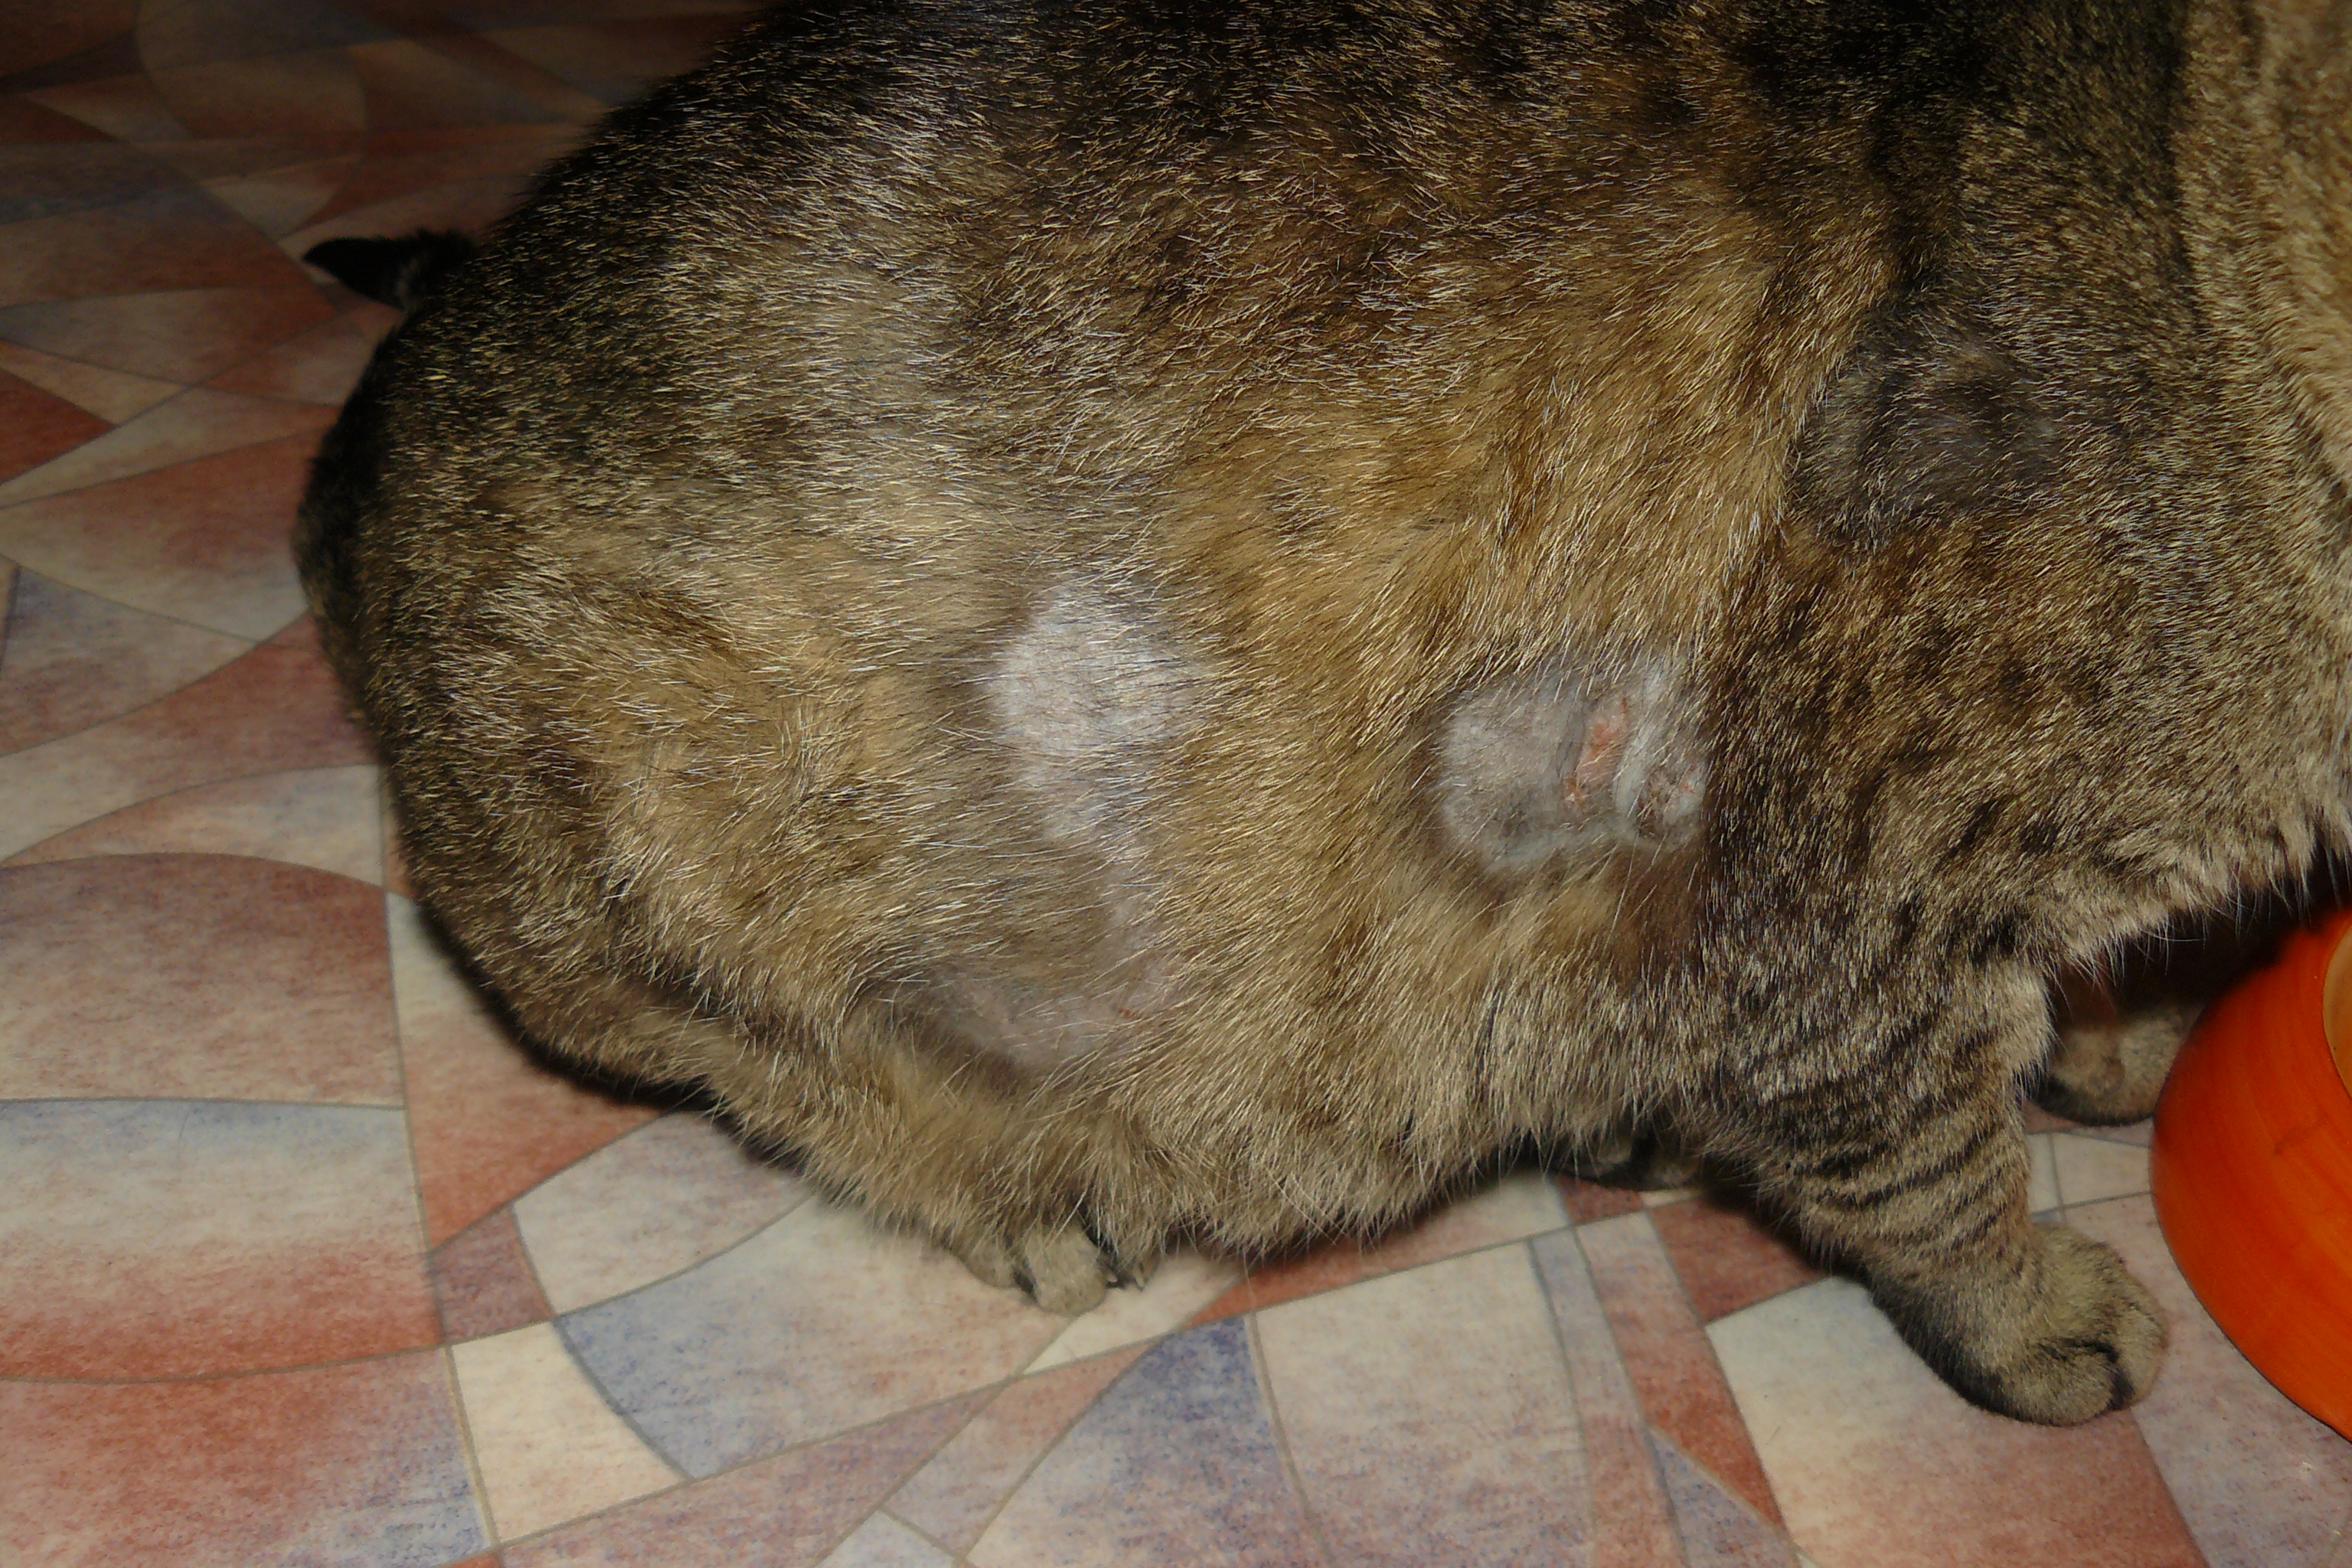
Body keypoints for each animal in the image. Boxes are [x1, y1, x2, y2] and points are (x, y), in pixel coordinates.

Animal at [296, 0, 2352, 1426]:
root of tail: (401, 389)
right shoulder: (1833, 922)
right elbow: (1927, 1166)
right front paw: (2034, 1310)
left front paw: (2129, 1040)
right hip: (653, 916)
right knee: (793, 1084)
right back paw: (1024, 1187)